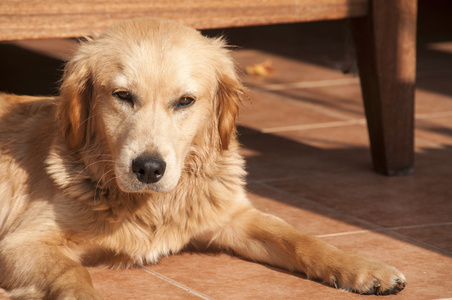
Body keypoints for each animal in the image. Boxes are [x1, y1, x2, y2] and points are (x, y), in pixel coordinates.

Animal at [0, 18, 406, 298]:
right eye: (122, 95)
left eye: (185, 100)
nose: (148, 168)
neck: (152, 207)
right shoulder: (21, 243)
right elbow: (73, 274)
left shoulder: (234, 217)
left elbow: (301, 238)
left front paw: (363, 267)